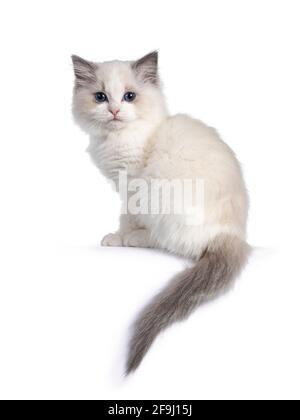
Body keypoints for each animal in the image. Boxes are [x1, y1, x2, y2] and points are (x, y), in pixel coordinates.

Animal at [71, 51, 250, 374]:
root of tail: (233, 235)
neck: (120, 138)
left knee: (168, 241)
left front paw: (118, 238)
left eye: (129, 96)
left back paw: (135, 240)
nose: (115, 110)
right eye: (101, 97)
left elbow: (126, 218)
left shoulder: (131, 186)